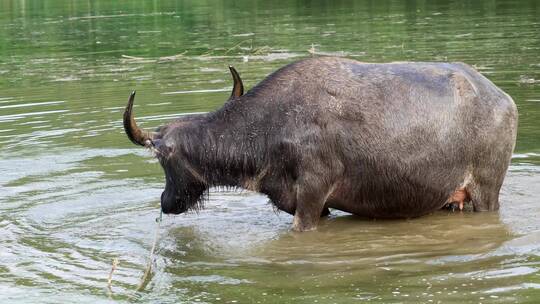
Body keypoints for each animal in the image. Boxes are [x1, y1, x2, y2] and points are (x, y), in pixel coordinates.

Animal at [124, 56, 516, 230]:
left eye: (163, 160)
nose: (166, 202)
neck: (269, 126)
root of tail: (503, 99)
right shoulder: (307, 202)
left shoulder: (313, 194)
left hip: (486, 192)